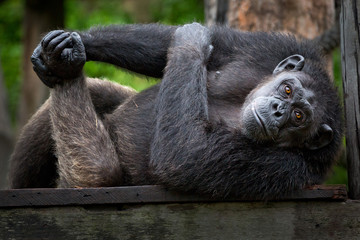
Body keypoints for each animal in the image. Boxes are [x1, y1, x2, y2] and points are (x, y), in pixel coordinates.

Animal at [7, 23, 340, 199]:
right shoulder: (270, 49)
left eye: (299, 117)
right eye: (287, 90)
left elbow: (184, 155)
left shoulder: (286, 167)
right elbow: (203, 44)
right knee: (100, 92)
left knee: (101, 171)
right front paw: (73, 43)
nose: (279, 110)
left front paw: (191, 42)